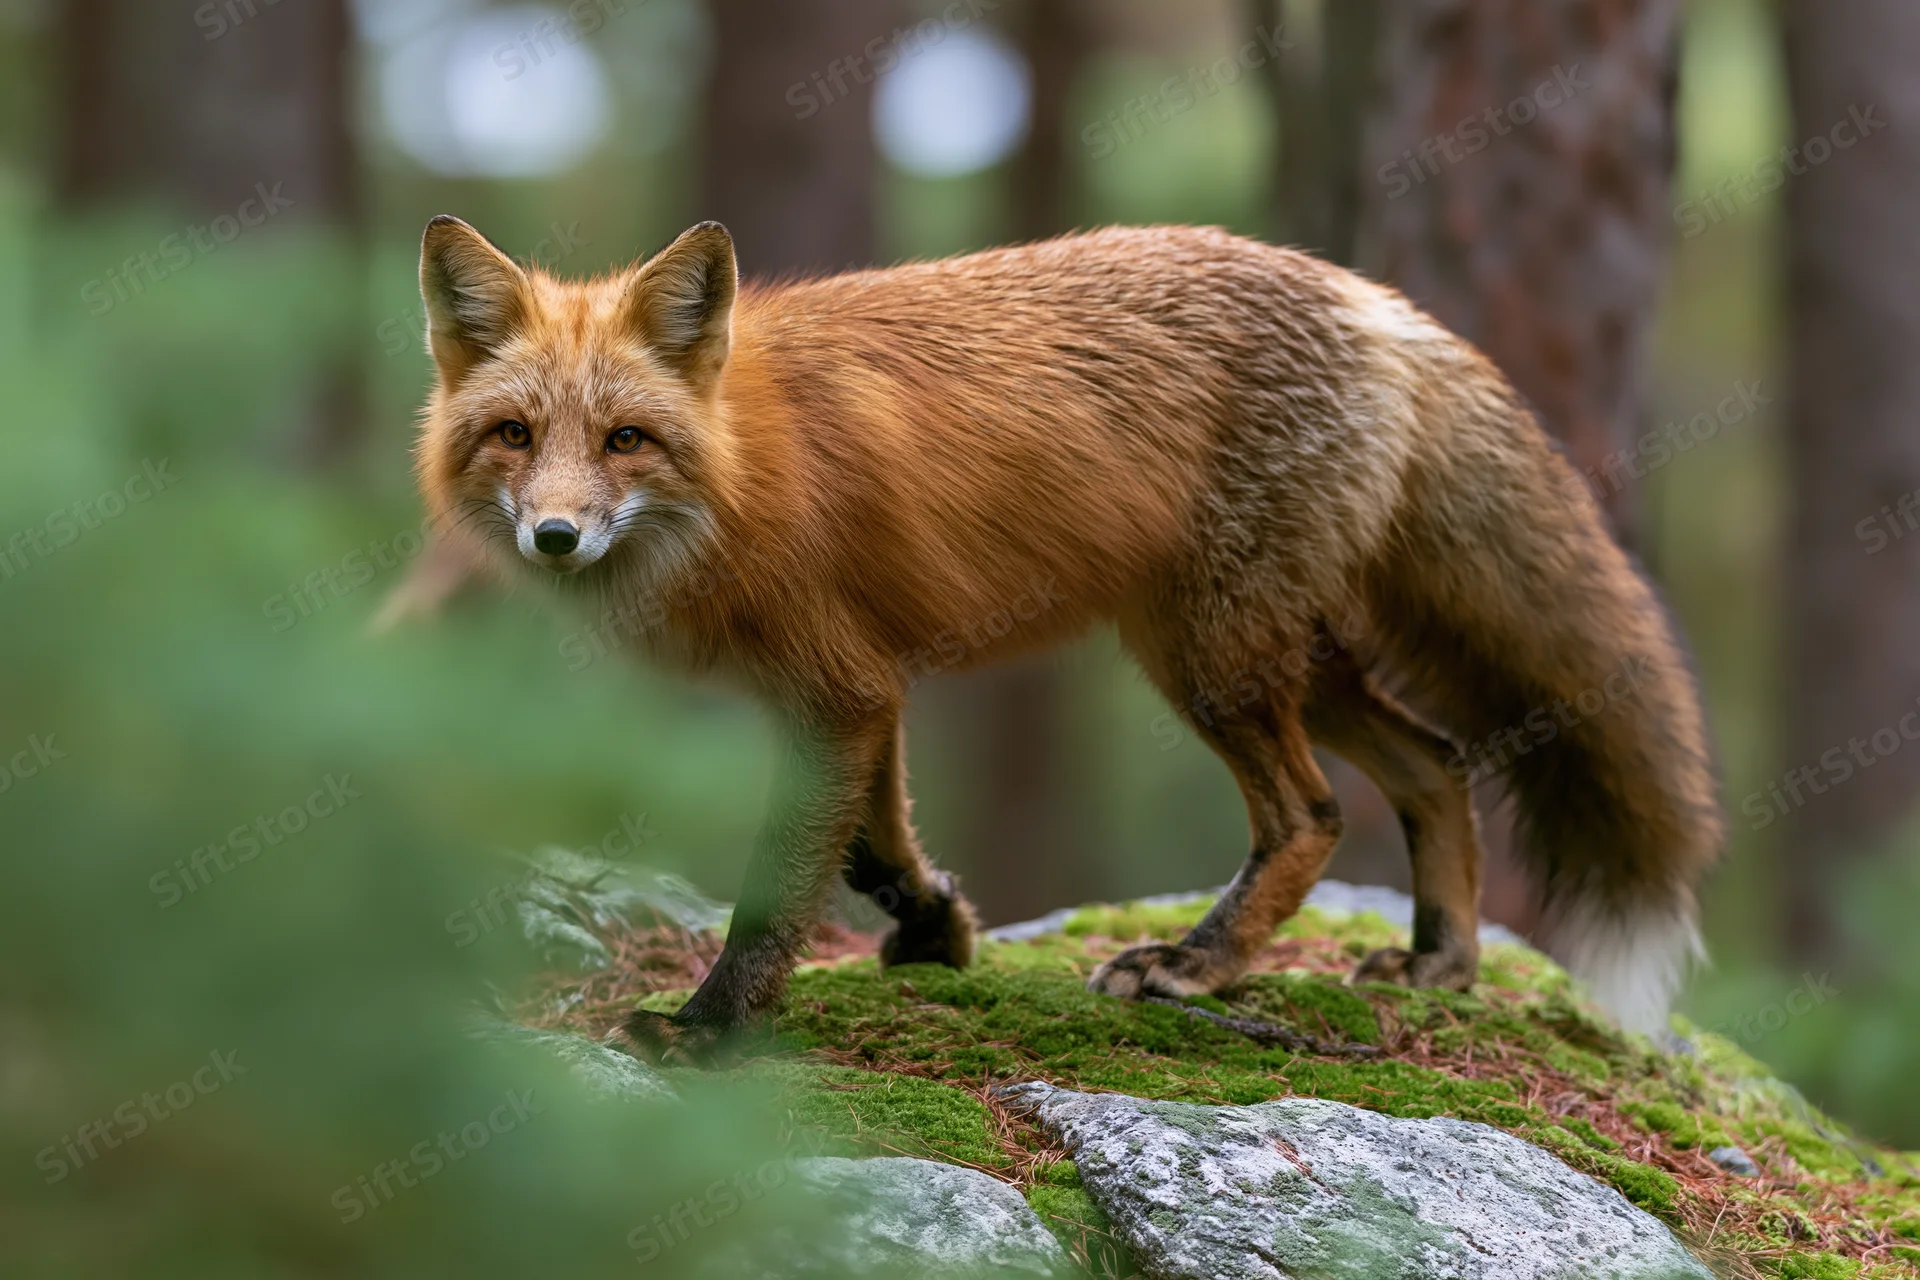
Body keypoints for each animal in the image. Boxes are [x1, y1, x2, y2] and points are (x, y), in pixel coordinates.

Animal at [410, 215, 1723, 1058]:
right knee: (1439, 766)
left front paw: (707, 1028)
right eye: (515, 434)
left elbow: (779, 890)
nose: (557, 537)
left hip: (1211, 657)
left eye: (626, 439)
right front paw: (937, 927)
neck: (738, 468)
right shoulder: (868, 686)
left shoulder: (836, 686)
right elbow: (879, 844)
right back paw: (1440, 962)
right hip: (1280, 651)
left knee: (1312, 814)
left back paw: (1194, 963)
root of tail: (1373, 302)